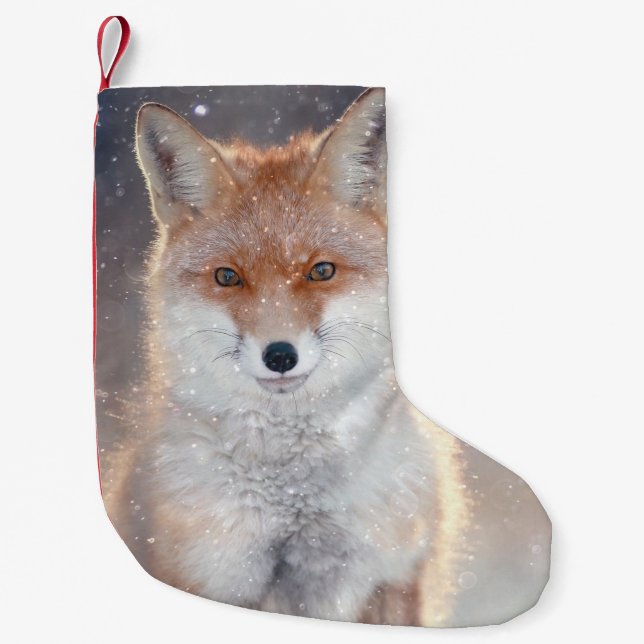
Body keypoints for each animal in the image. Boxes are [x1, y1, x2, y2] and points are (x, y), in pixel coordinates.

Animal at [100, 88, 550, 627]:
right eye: (228, 277)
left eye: (321, 271)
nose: (279, 355)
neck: (295, 498)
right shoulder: (209, 572)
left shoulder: (383, 574)